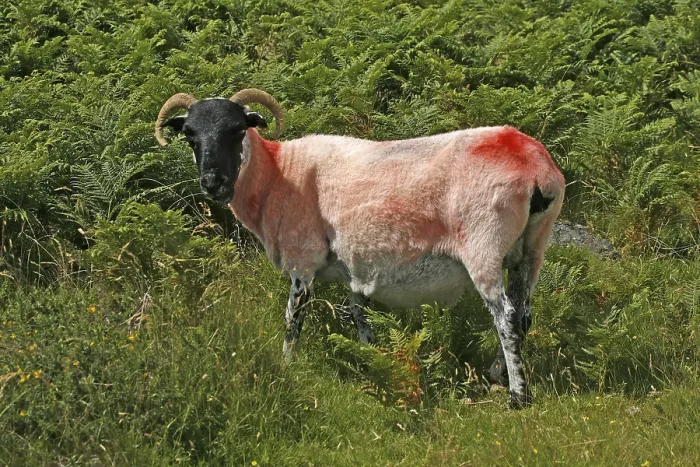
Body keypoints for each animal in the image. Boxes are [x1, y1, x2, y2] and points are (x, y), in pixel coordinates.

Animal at [155, 89, 565, 407]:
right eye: (190, 134)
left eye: (237, 129)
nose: (212, 182)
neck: (277, 174)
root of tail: (535, 166)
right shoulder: (358, 269)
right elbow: (359, 317)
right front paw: (373, 362)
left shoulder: (303, 260)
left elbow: (293, 319)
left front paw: (287, 366)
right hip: (532, 249)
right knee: (523, 313)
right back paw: (499, 374)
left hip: (483, 244)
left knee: (506, 316)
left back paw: (518, 397)